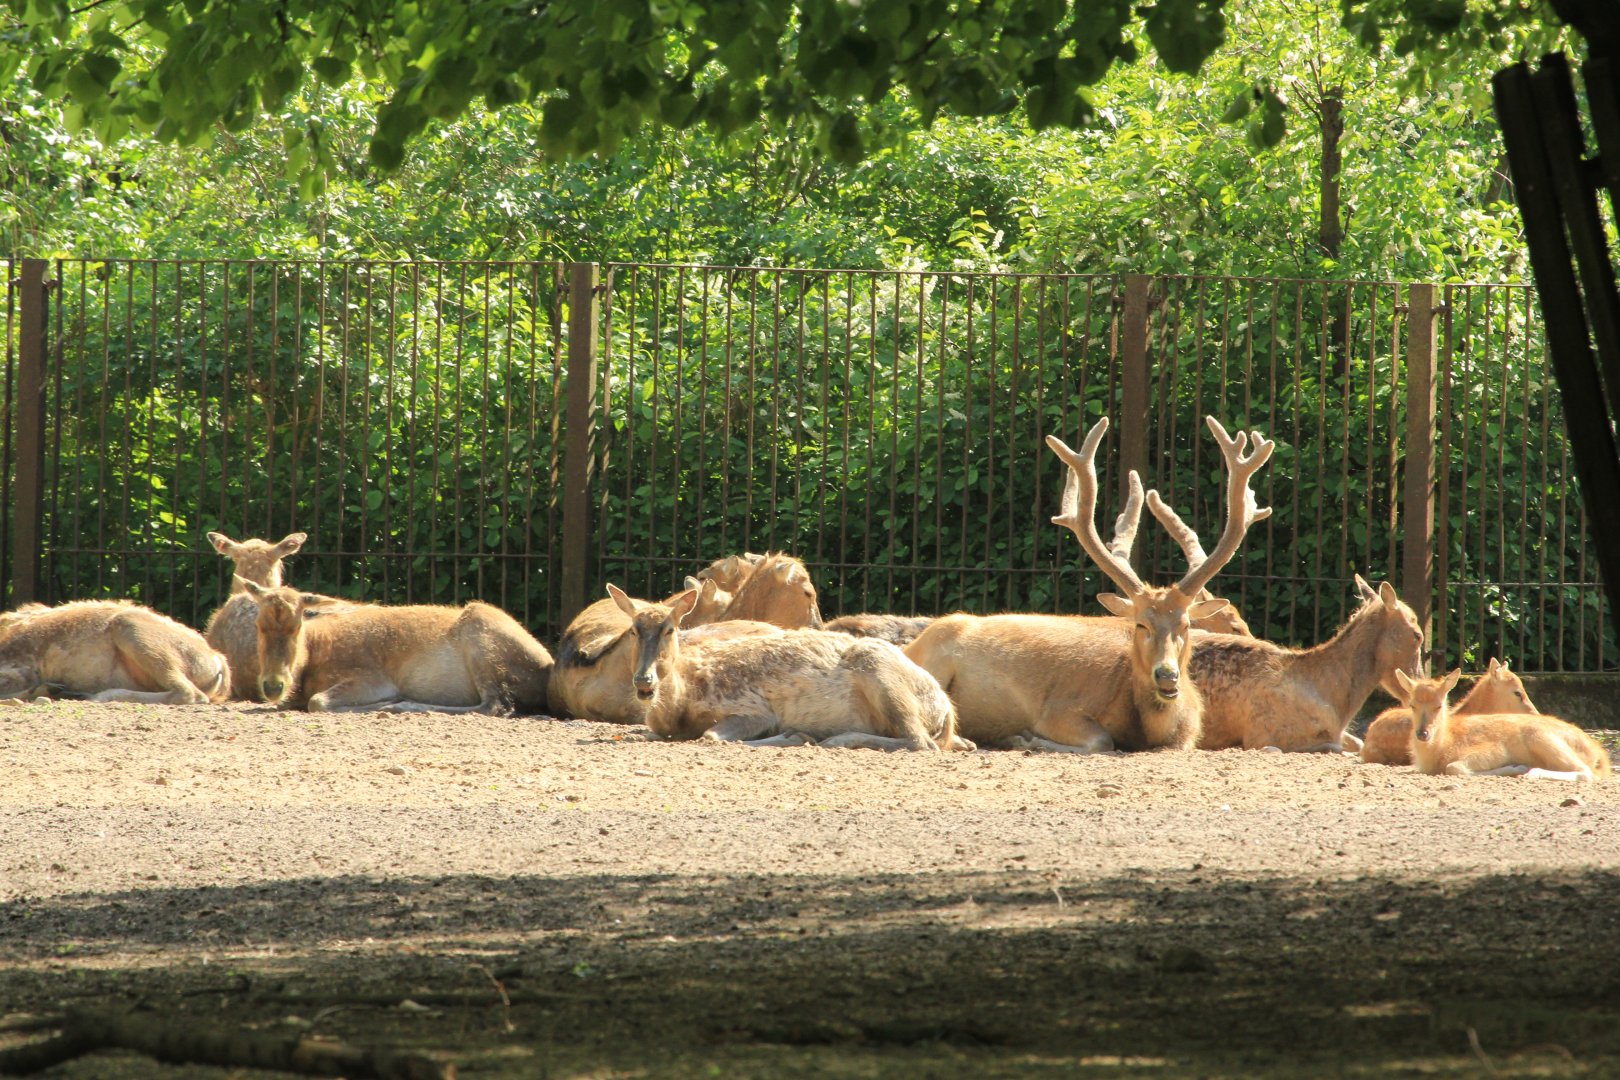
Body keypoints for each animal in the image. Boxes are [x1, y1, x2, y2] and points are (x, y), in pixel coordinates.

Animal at [240, 580, 552, 714]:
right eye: (258, 624)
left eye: (297, 624)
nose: (273, 685)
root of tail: (545, 666)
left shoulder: (371, 678)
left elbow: (317, 702)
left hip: (482, 640)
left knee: (496, 705)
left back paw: (399, 704)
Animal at [606, 583, 967, 750]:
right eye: (633, 630)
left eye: (670, 629)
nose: (644, 681)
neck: (680, 704)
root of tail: (946, 707)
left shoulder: (752, 707)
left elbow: (711, 736)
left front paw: (795, 735)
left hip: (882, 673)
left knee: (921, 741)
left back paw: (832, 739)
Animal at [903, 415, 1272, 753]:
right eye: (1141, 625)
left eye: (1185, 625)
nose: (1166, 675)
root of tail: (913, 644)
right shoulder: (1059, 710)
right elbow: (1100, 740)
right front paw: (1025, 738)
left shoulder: (1191, 731)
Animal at [1395, 669, 1610, 781]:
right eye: (1412, 705)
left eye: (1439, 705)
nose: (1422, 733)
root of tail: (1599, 754)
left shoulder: (1493, 749)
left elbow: (1454, 767)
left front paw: (1515, 766)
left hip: (1541, 737)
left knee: (1585, 772)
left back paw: (1529, 772)